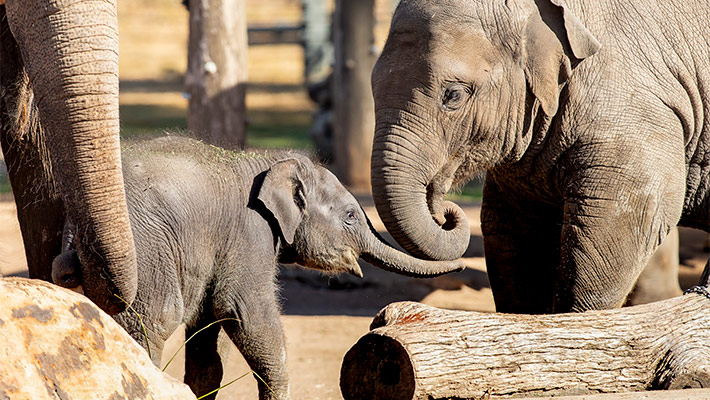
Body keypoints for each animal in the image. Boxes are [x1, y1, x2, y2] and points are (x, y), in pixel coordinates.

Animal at [51, 137, 462, 400]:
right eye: (349, 215)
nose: (447, 213)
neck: (264, 160)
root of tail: (74, 235)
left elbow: (209, 332)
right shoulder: (249, 232)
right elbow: (244, 312)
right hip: (147, 253)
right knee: (155, 319)